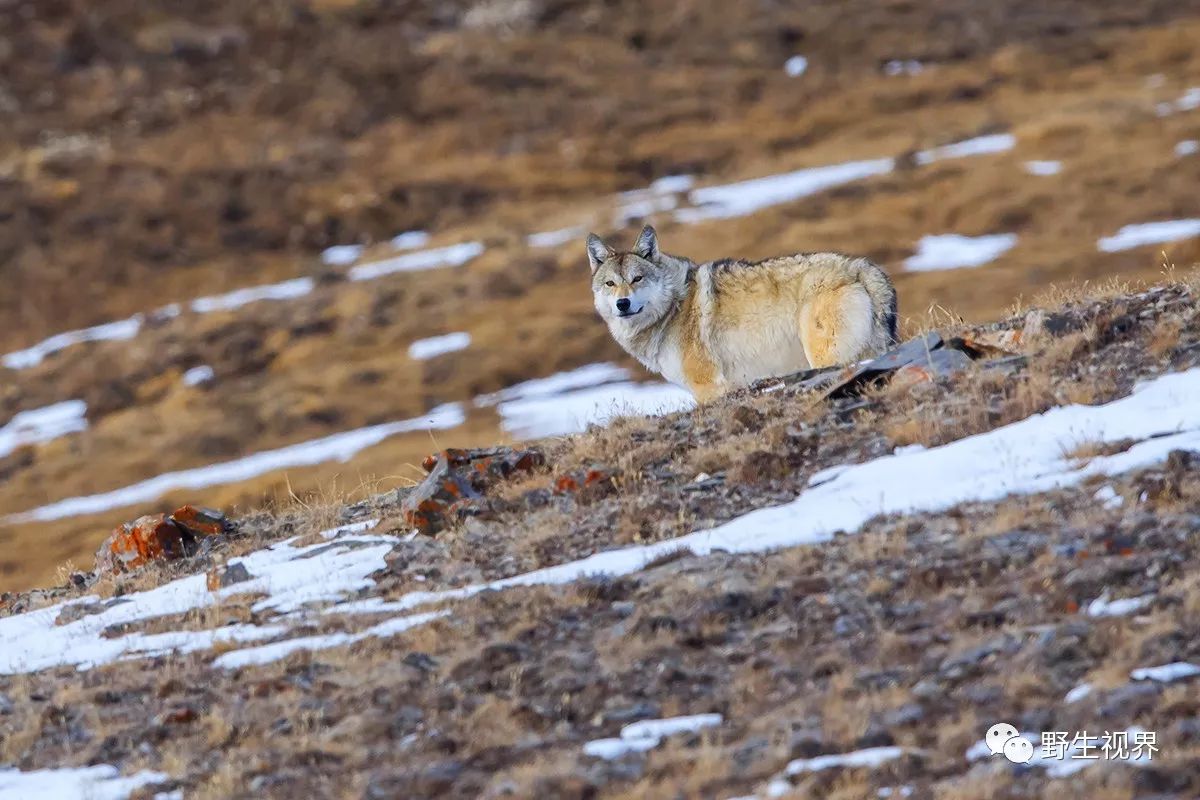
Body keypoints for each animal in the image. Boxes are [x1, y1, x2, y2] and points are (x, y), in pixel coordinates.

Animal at [585, 225, 897, 400]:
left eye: (637, 278)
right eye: (610, 284)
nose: (622, 304)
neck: (673, 308)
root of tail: (861, 267)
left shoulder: (709, 389)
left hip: (825, 356)